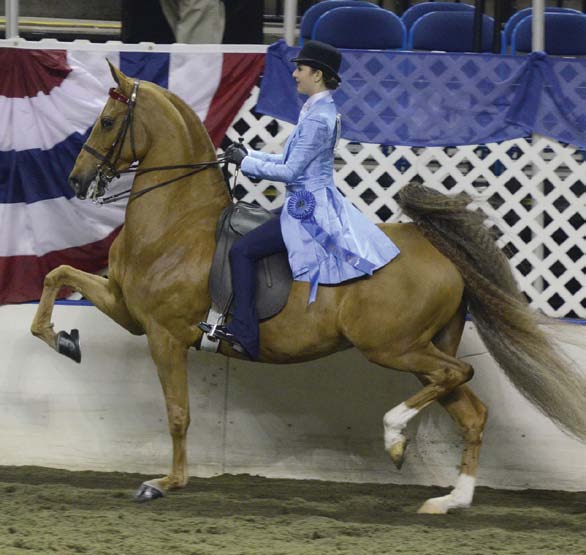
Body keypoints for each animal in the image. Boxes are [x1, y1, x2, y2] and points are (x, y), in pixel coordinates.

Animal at [32, 63, 584, 516]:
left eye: (107, 121)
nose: (76, 180)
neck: (176, 222)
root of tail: (438, 249)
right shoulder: (128, 311)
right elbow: (57, 276)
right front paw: (65, 341)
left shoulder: (164, 335)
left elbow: (178, 414)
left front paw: (166, 483)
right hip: (420, 350)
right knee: (471, 410)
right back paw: (451, 500)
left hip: (394, 348)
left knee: (458, 375)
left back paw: (395, 438)